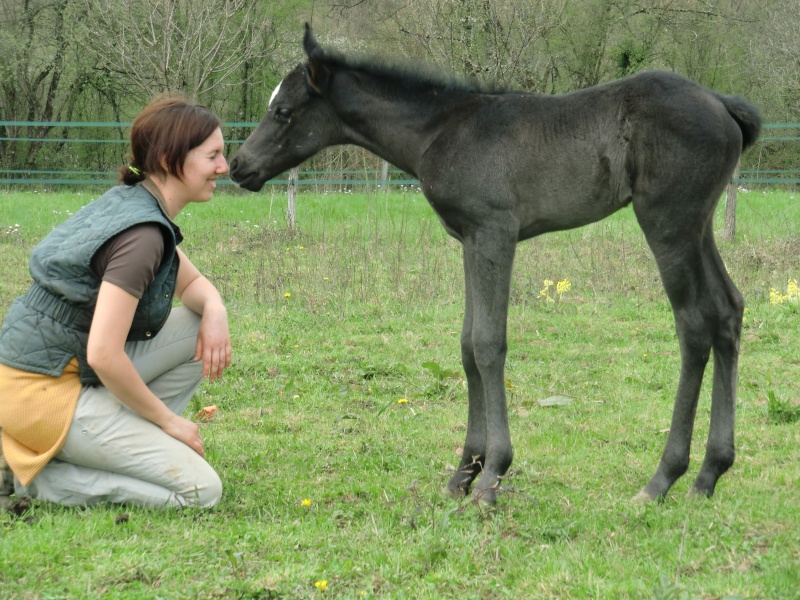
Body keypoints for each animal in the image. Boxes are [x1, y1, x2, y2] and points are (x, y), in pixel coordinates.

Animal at [230, 24, 764, 502]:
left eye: (283, 110)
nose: (238, 166)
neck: (442, 132)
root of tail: (721, 103)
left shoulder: (495, 234)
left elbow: (489, 344)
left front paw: (492, 476)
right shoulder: (468, 239)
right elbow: (468, 346)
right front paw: (463, 472)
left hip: (667, 221)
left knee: (693, 324)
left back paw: (662, 479)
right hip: (698, 225)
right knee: (728, 310)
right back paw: (709, 474)